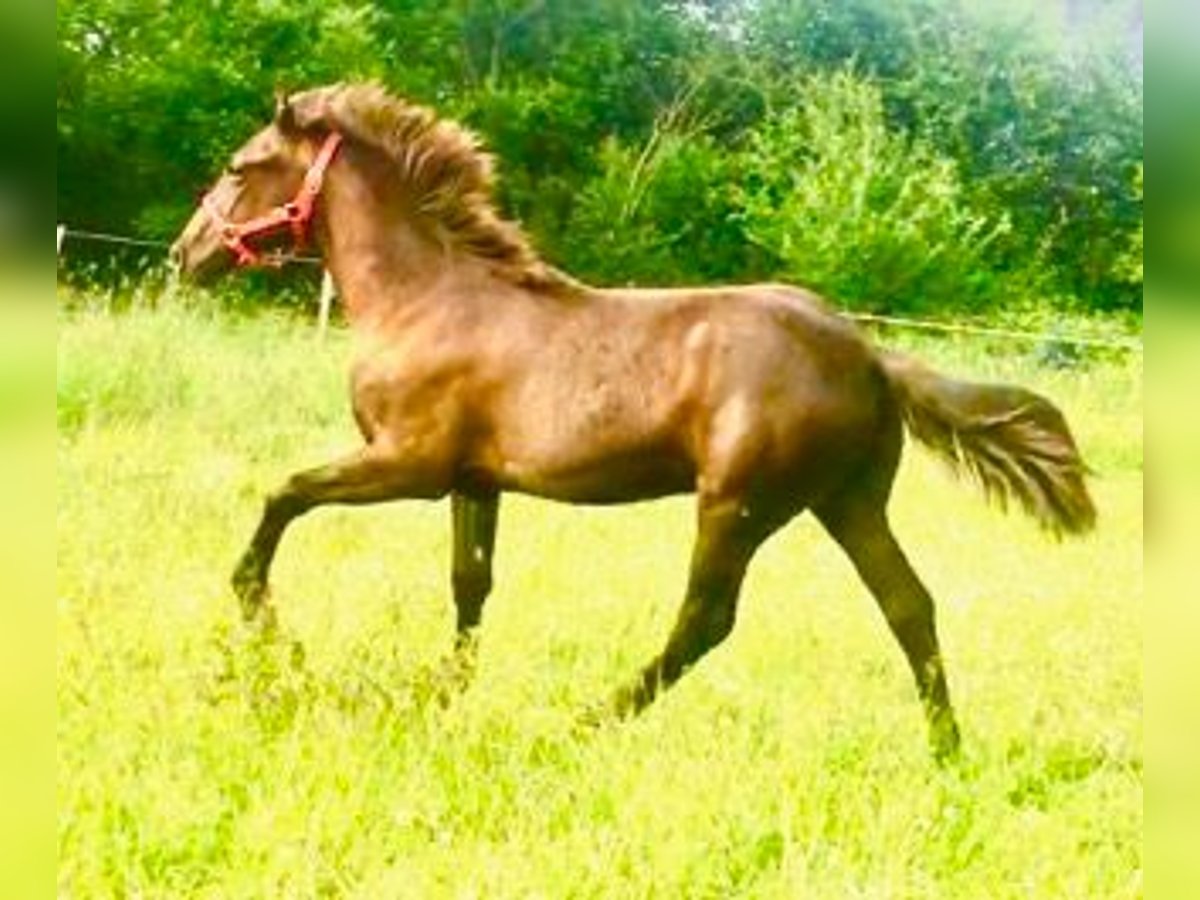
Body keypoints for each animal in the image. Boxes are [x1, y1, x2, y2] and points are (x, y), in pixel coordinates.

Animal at [171, 83, 1095, 759]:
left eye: (241, 165)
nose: (186, 255)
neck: (425, 298)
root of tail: (868, 355)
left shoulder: (410, 463)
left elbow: (283, 495)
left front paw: (266, 634)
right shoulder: (475, 480)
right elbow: (470, 586)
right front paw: (439, 695)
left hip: (738, 504)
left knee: (706, 622)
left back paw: (581, 724)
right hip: (848, 502)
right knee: (909, 605)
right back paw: (948, 754)